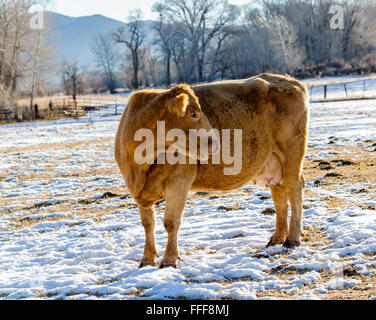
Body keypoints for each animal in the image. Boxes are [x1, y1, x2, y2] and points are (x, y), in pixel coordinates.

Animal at [114, 74, 308, 268]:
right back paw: (276, 238)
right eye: (193, 113)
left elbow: (171, 222)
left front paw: (169, 259)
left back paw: (292, 239)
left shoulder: (179, 183)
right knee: (280, 197)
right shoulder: (137, 192)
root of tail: (288, 80)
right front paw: (147, 260)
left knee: (295, 190)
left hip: (292, 155)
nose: (217, 143)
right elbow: (147, 224)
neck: (139, 168)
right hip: (273, 164)